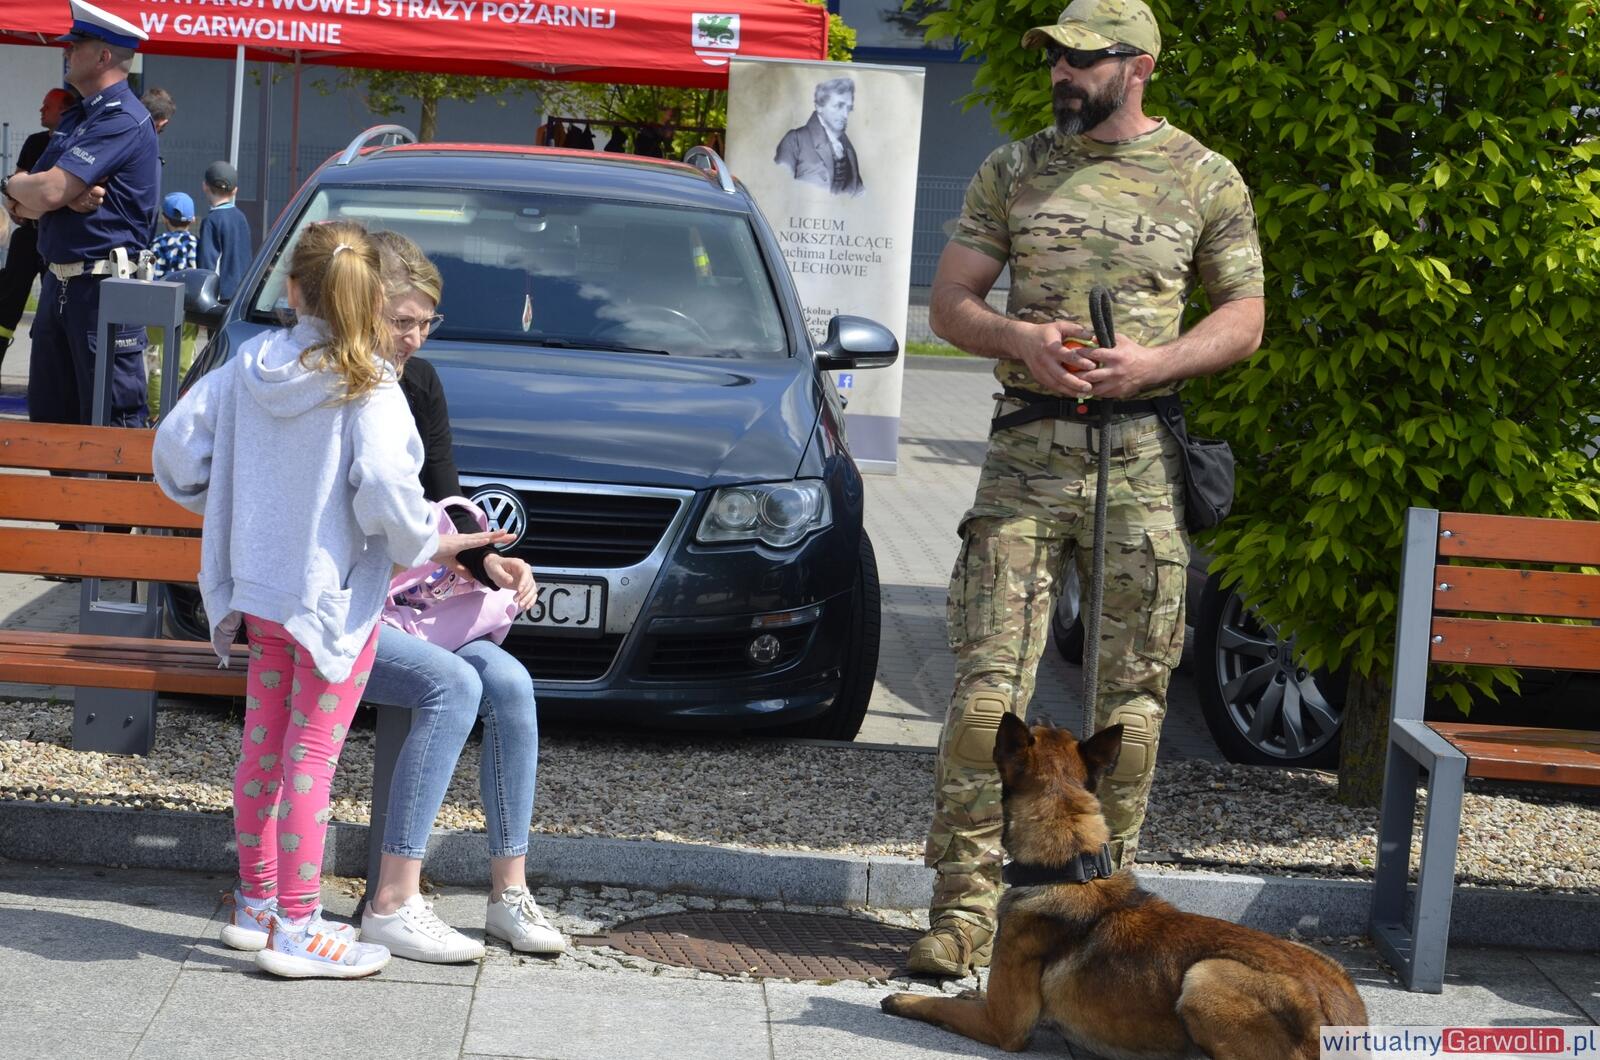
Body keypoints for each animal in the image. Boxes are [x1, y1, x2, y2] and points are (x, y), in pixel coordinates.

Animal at [882, 715, 1367, 1057]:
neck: (1070, 867)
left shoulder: (1004, 1026)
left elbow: (938, 1006)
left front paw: (903, 1000)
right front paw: (968, 989)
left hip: (1203, 977)